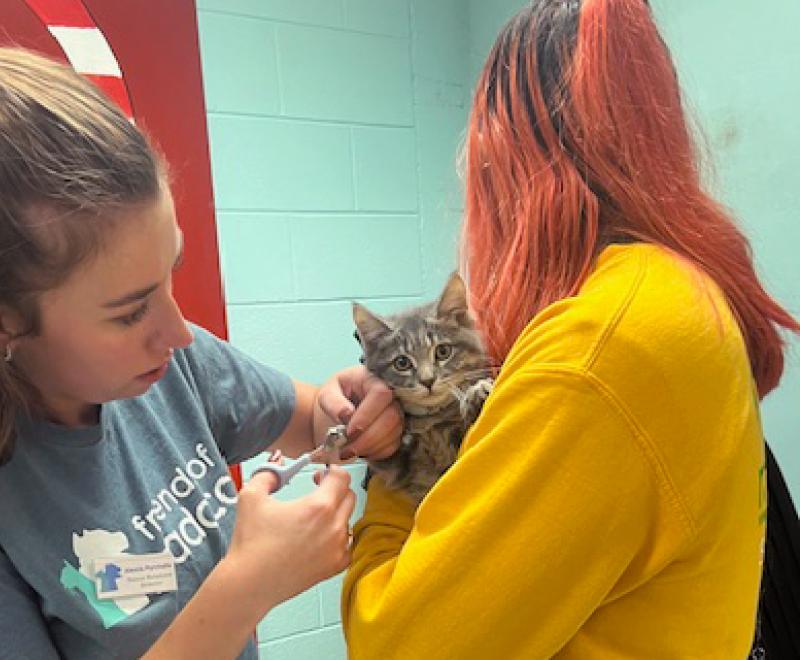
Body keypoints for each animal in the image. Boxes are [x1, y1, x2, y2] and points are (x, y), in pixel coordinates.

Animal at [352, 270, 490, 502]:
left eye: (443, 351)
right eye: (402, 363)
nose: (428, 381)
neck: (431, 421)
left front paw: (476, 392)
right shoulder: (400, 470)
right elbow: (384, 457)